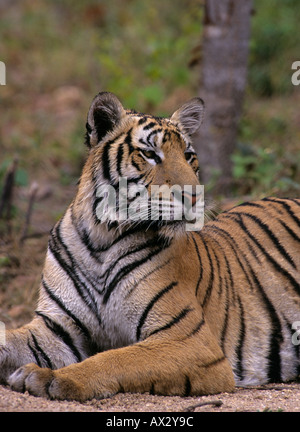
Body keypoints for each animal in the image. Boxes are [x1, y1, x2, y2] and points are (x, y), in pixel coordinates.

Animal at [0, 92, 300, 402]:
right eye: (150, 154)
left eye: (188, 156)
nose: (195, 196)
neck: (101, 239)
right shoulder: (56, 328)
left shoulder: (188, 339)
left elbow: (116, 358)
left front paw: (50, 377)